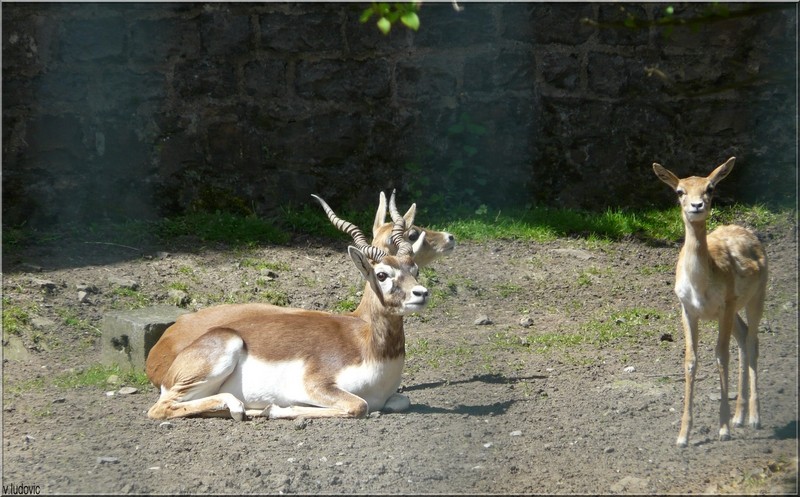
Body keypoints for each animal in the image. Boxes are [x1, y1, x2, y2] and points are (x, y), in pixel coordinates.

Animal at [144, 193, 432, 418]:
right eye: (382, 275)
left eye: (414, 269)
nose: (422, 293)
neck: (369, 346)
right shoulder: (316, 385)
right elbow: (360, 406)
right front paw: (277, 409)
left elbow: (400, 401)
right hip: (220, 354)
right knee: (159, 408)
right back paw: (239, 407)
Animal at [656, 157, 768, 448]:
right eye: (679, 191)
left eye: (710, 188)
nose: (697, 205)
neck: (700, 286)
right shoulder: (687, 310)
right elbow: (691, 361)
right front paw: (683, 436)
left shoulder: (725, 305)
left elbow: (721, 356)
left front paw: (723, 429)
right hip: (734, 310)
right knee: (743, 338)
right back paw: (740, 417)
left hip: (756, 298)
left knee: (752, 341)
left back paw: (754, 418)